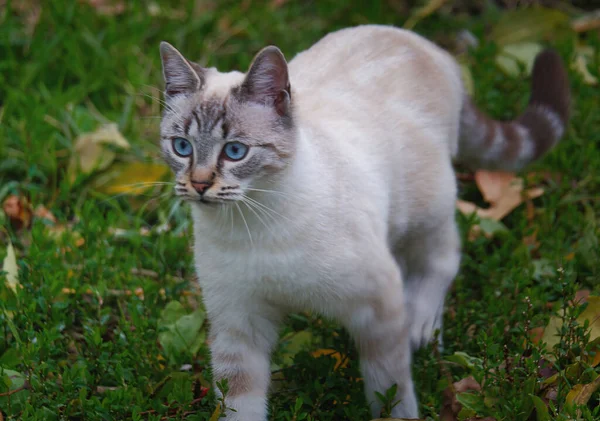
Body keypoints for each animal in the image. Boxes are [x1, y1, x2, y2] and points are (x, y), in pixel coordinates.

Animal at [157, 24, 568, 418]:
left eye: (234, 152)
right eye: (182, 147)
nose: (199, 185)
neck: (251, 224)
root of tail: (429, 46)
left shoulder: (377, 308)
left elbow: (391, 392)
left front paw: (397, 409)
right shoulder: (238, 326)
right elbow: (240, 405)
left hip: (427, 208)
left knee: (444, 255)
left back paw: (422, 323)